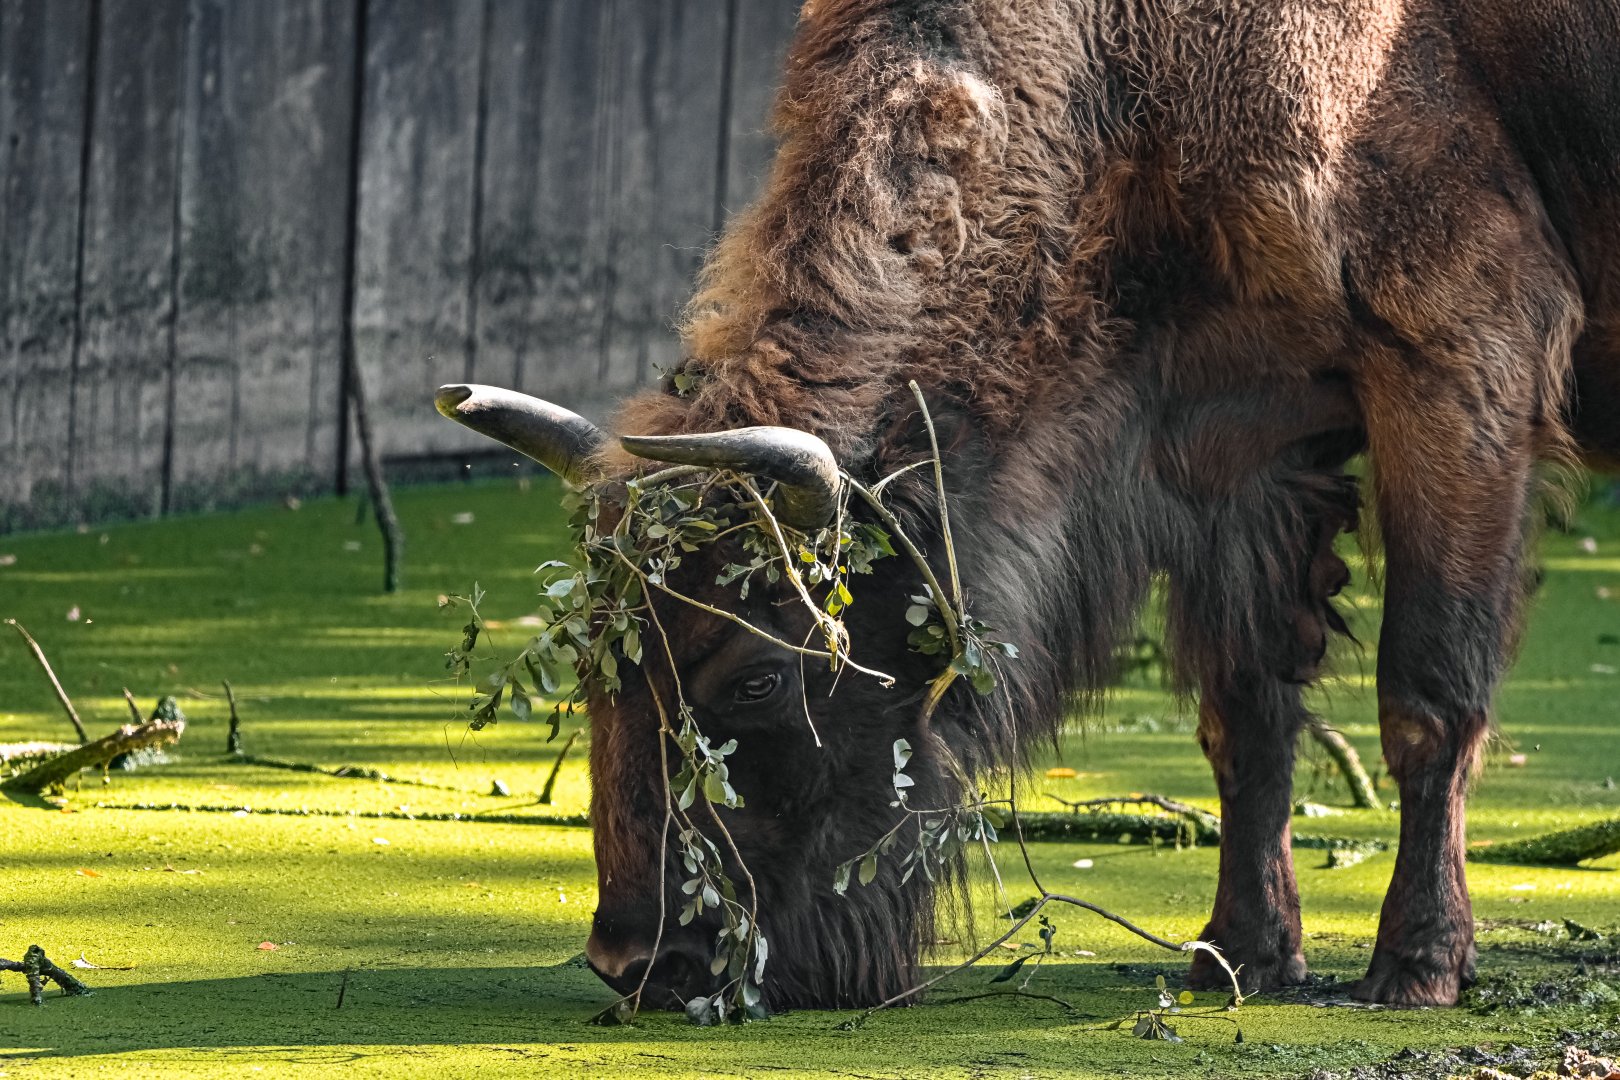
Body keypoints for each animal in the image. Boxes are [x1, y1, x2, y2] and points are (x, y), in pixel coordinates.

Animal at [437, 0, 1620, 1010]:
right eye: (594, 664)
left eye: (761, 674)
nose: (637, 960)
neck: (1126, 84)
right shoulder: (1237, 440)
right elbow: (1247, 715)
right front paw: (1234, 957)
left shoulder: (1457, 368)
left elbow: (1426, 695)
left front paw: (1414, 970)